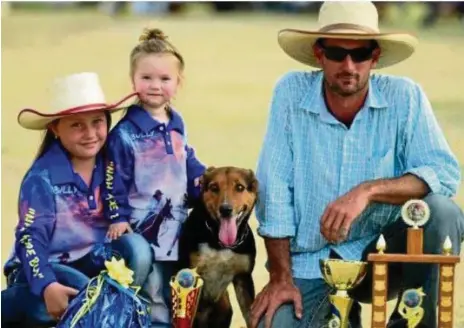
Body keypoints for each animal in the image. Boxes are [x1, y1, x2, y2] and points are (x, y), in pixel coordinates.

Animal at [177, 167, 258, 328]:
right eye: (214, 187)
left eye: (240, 187)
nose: (225, 209)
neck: (221, 245)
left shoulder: (244, 278)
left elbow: (251, 317)